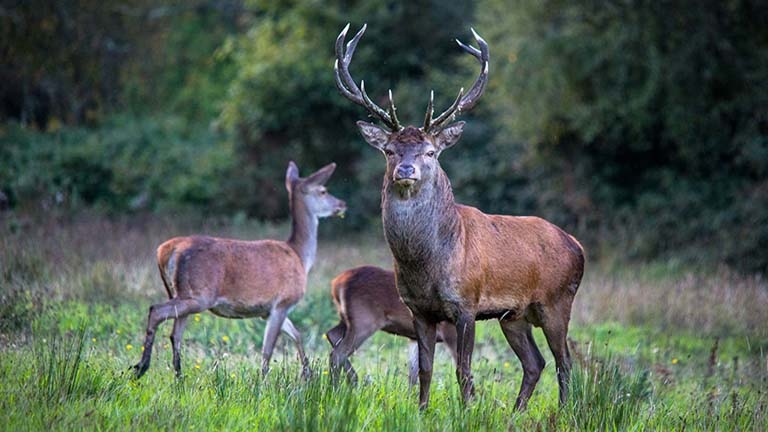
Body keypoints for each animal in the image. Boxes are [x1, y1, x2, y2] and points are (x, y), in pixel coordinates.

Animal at [134, 161, 346, 378]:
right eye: (323, 191)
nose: (342, 204)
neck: (300, 257)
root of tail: (165, 250)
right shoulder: (283, 302)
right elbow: (268, 349)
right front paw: (264, 380)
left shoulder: (267, 311)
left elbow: (296, 334)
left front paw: (307, 374)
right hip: (199, 294)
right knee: (156, 311)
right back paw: (142, 366)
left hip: (179, 292)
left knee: (175, 334)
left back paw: (178, 376)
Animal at [324, 264, 456, 386]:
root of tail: (336, 284)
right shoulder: (449, 331)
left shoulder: (414, 337)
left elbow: (413, 374)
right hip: (364, 320)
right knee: (337, 353)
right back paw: (336, 388)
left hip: (349, 319)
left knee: (332, 335)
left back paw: (352, 381)